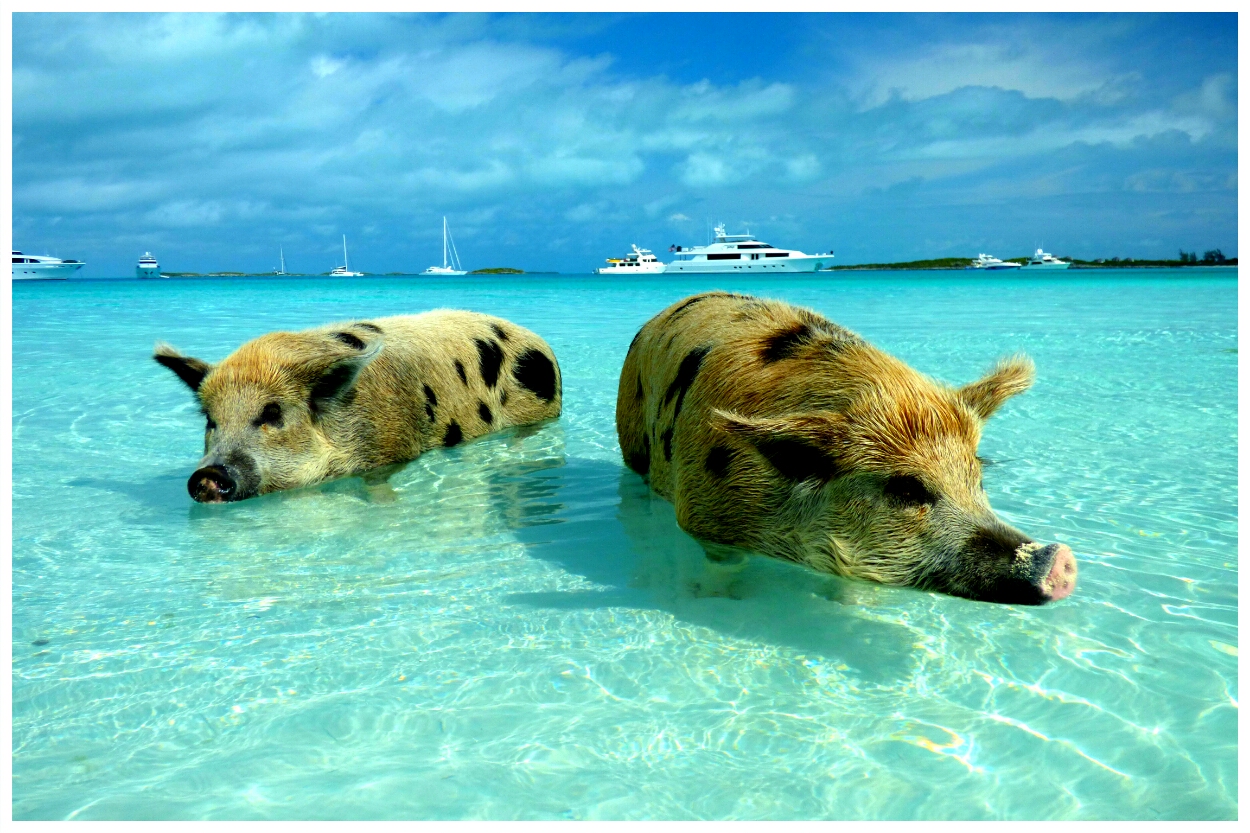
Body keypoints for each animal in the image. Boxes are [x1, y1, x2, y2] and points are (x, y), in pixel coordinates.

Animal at [615, 288, 1075, 600]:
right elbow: (722, 565)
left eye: (976, 477)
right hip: (630, 430)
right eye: (906, 488)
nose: (1059, 559)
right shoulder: (701, 514)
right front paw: (715, 598)